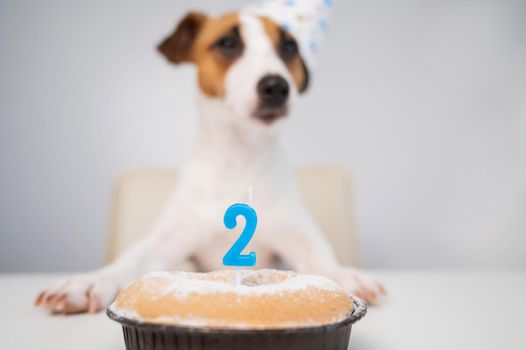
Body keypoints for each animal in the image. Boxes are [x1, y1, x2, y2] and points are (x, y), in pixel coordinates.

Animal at [34, 10, 388, 314]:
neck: (239, 159)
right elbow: (129, 260)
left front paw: (346, 274)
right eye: (227, 43)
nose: (276, 86)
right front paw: (89, 281)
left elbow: (322, 260)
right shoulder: (165, 242)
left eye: (288, 47)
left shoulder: (298, 239)